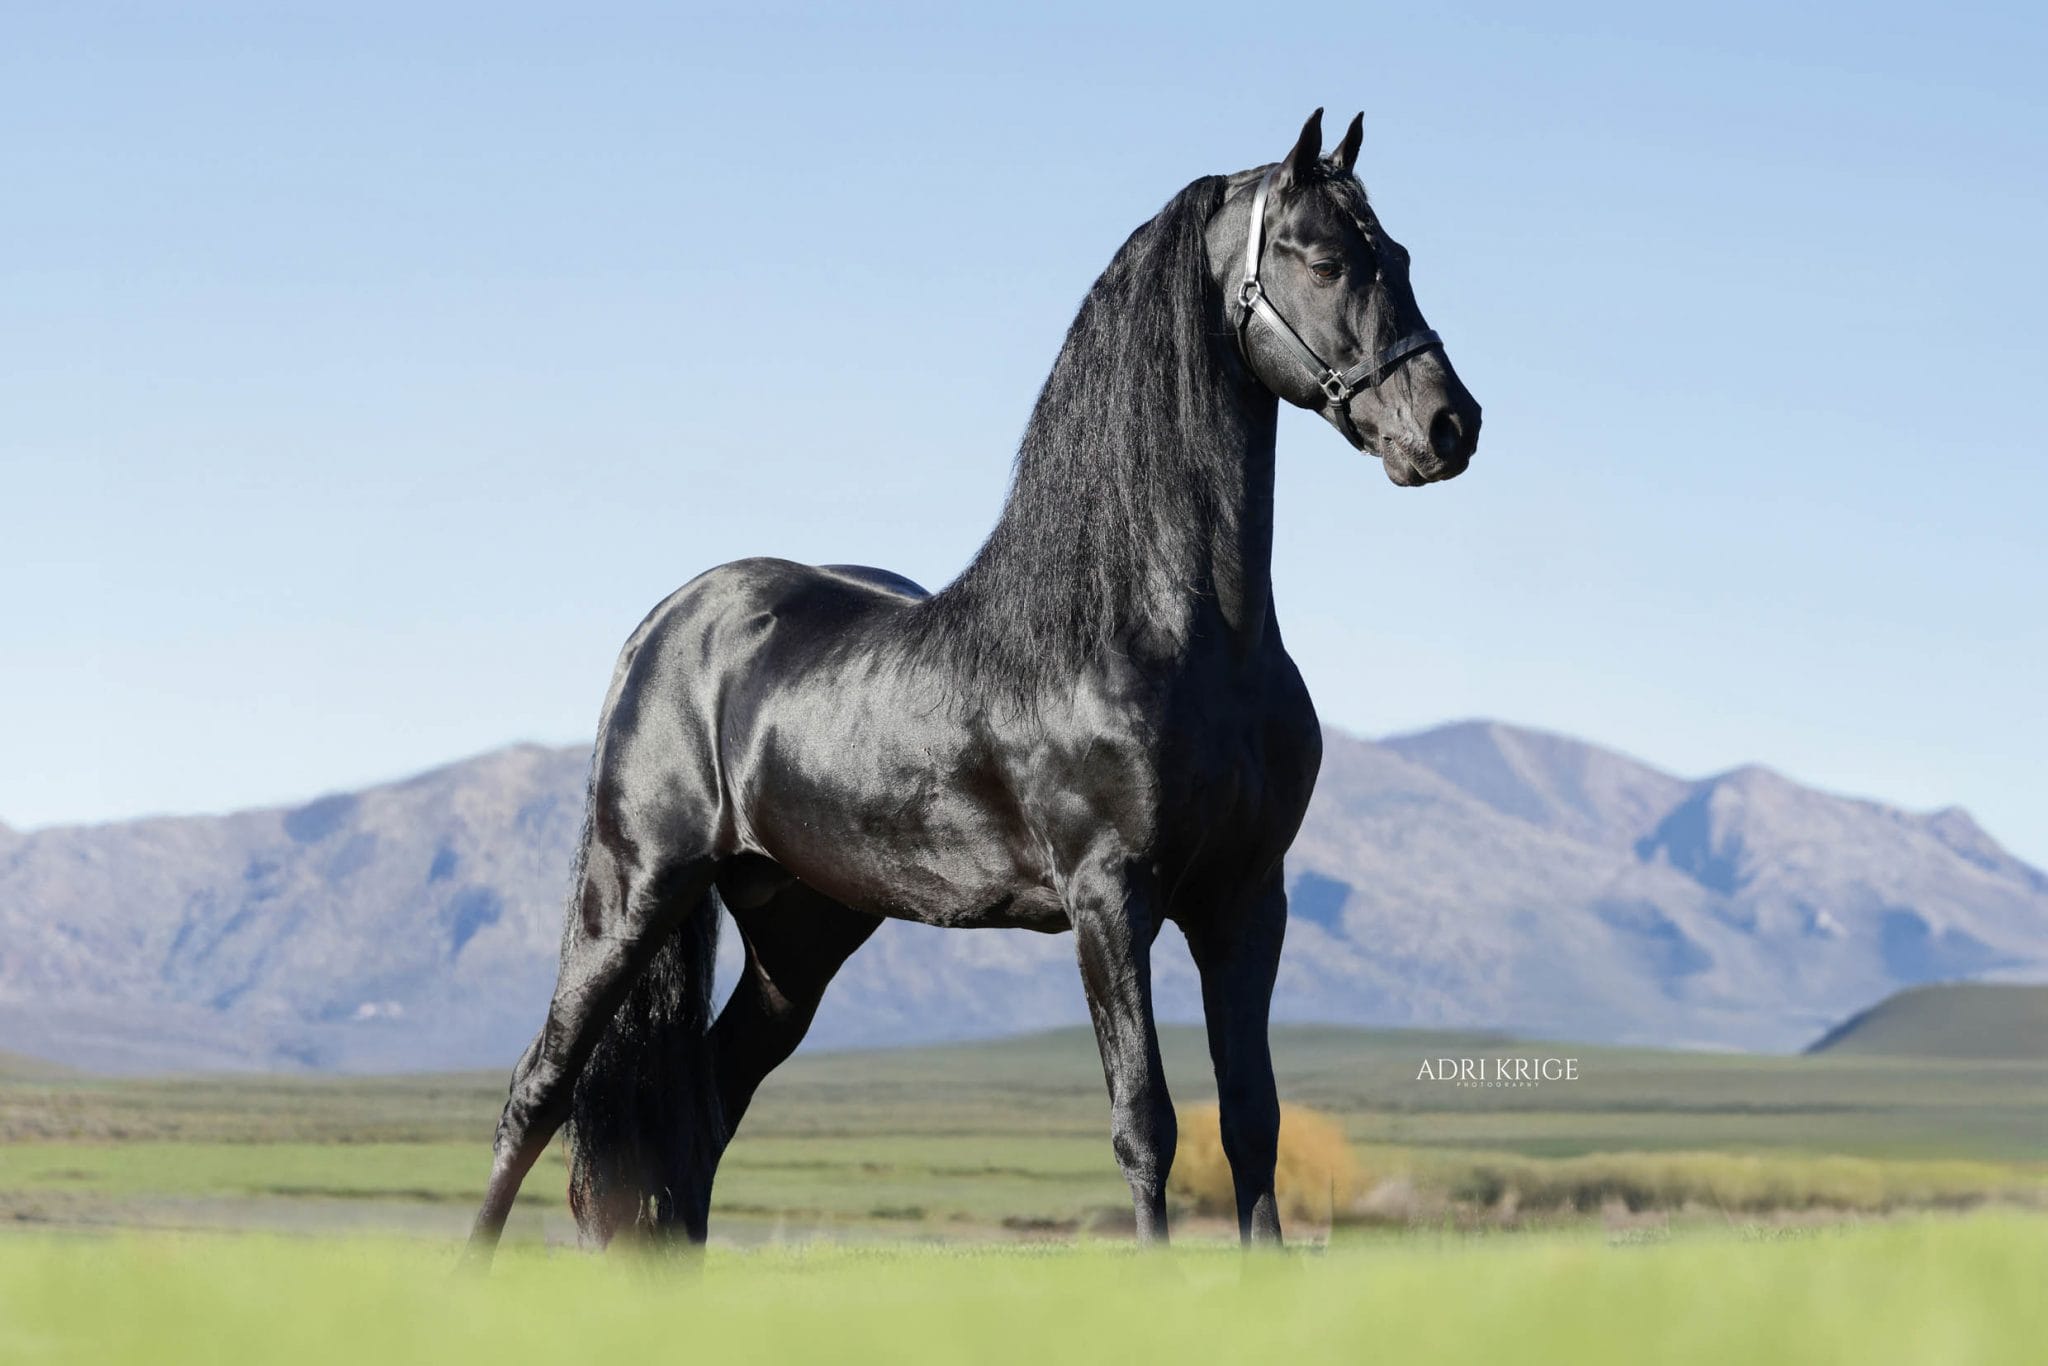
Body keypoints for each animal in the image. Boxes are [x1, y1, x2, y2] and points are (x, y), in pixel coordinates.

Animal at [464, 108, 1480, 1262]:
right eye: (1322, 260)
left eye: (1400, 256)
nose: (1449, 426)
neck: (1161, 627)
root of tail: (665, 623)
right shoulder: (1109, 899)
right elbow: (1146, 1122)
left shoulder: (1245, 900)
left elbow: (1251, 1120)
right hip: (631, 891)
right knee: (537, 1091)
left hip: (796, 936)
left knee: (707, 1107)